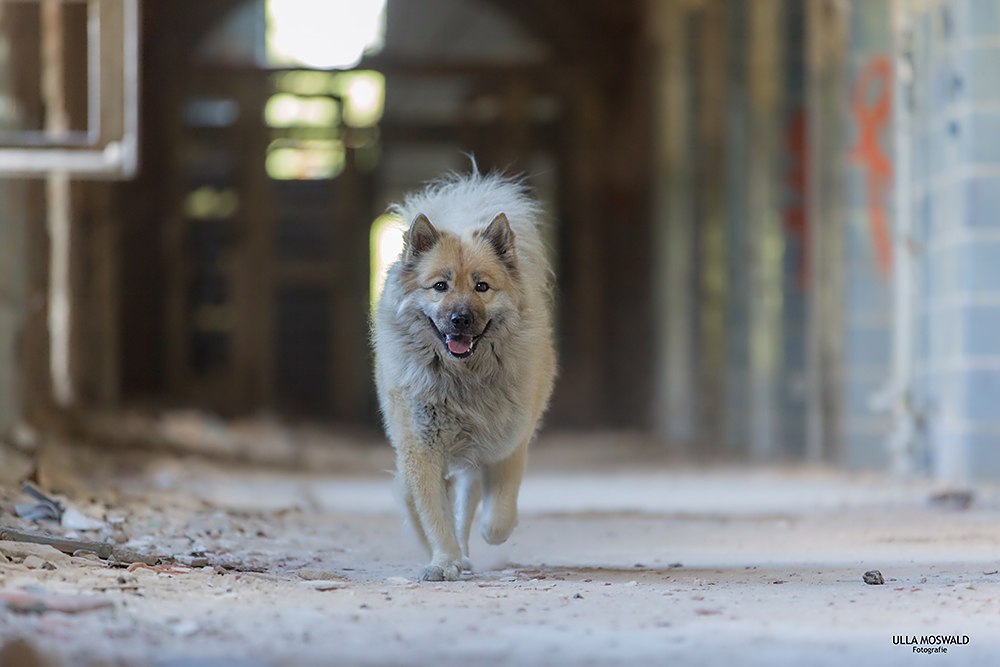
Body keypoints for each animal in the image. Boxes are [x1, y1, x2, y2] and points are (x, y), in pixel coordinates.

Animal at [374, 170, 560, 580]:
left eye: (482, 286)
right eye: (440, 286)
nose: (460, 319)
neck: (462, 381)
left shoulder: (505, 446)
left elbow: (497, 516)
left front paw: (485, 536)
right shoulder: (421, 452)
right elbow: (432, 515)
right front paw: (444, 560)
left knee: (469, 504)